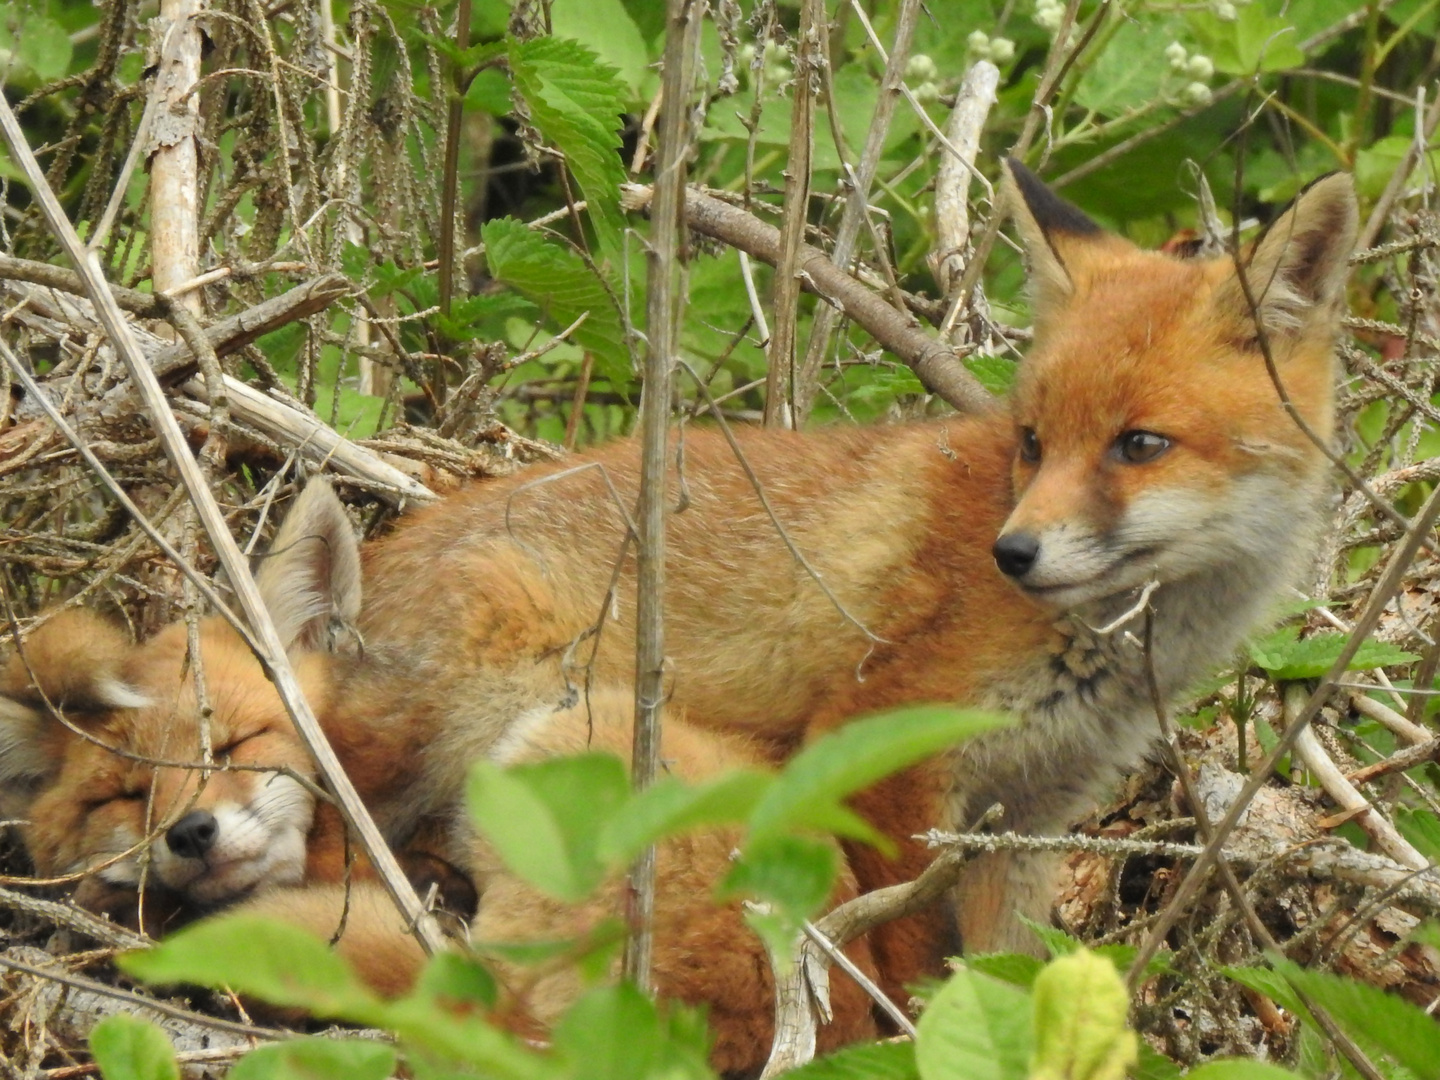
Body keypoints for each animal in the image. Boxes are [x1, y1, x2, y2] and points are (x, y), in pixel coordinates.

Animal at [0, 162, 1353, 1077]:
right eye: (1031, 441)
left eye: (1138, 446)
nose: (1013, 553)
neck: (1118, 646)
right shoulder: (882, 751)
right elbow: (885, 965)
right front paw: (873, 1040)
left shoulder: (1032, 818)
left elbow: (1016, 985)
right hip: (534, 725)